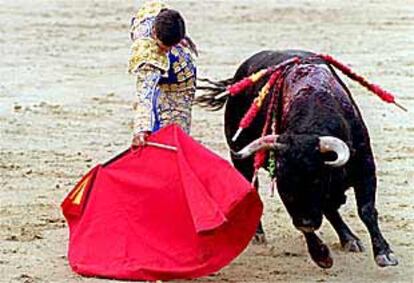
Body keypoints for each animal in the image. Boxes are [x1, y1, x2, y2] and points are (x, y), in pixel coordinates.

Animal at [197, 50, 398, 270]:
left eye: (317, 179)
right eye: (285, 186)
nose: (306, 221)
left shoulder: (365, 166)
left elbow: (366, 210)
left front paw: (384, 253)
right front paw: (321, 255)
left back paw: (348, 239)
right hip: (242, 161)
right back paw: (258, 234)